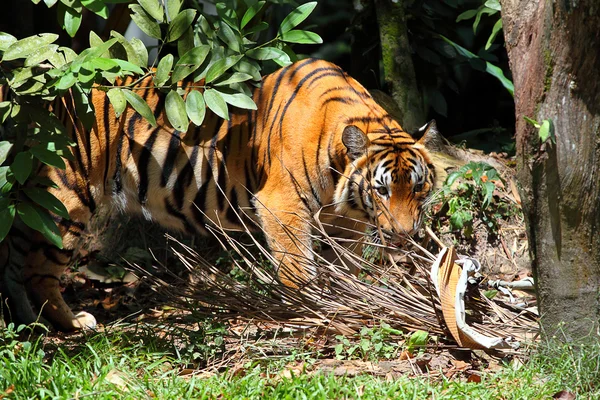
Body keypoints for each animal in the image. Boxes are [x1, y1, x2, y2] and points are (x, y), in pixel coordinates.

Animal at [0, 57, 436, 332]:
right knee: (37, 270)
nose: (404, 236)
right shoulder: (282, 206)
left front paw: (349, 299)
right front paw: (311, 311)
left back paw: (27, 324)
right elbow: (299, 267)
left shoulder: (345, 221)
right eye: (382, 190)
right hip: (67, 203)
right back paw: (71, 324)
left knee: (15, 263)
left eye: (417, 187)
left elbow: (344, 264)